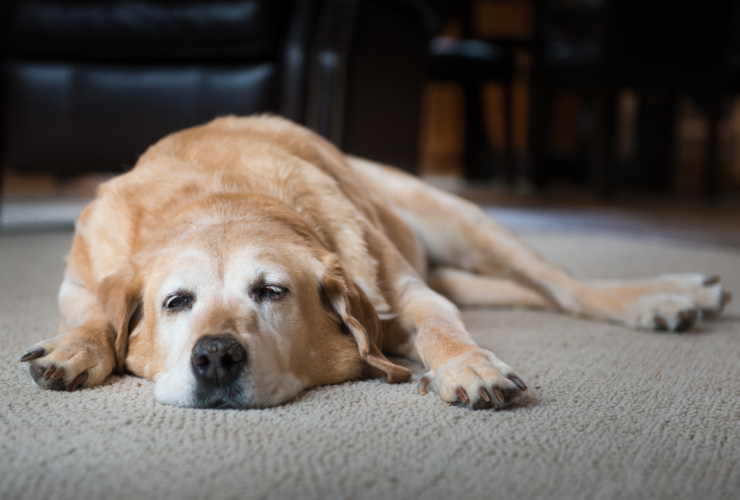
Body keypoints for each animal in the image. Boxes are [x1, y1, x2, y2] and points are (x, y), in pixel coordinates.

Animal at [20, 115, 732, 408]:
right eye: (176, 302)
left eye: (272, 292)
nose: (216, 356)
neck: (223, 197)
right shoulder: (77, 281)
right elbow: (94, 315)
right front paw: (75, 349)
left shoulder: (409, 294)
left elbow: (440, 326)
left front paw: (468, 366)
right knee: (528, 294)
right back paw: (686, 294)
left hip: (462, 222)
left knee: (564, 287)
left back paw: (662, 297)